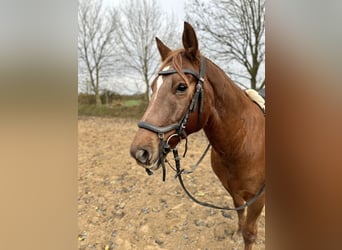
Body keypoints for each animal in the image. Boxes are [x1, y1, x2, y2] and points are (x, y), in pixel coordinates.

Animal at [130, 22, 266, 250]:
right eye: (153, 87)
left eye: (181, 86)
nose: (139, 152)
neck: (240, 144)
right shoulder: (234, 191)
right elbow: (239, 212)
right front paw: (236, 233)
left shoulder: (257, 199)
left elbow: (250, 234)